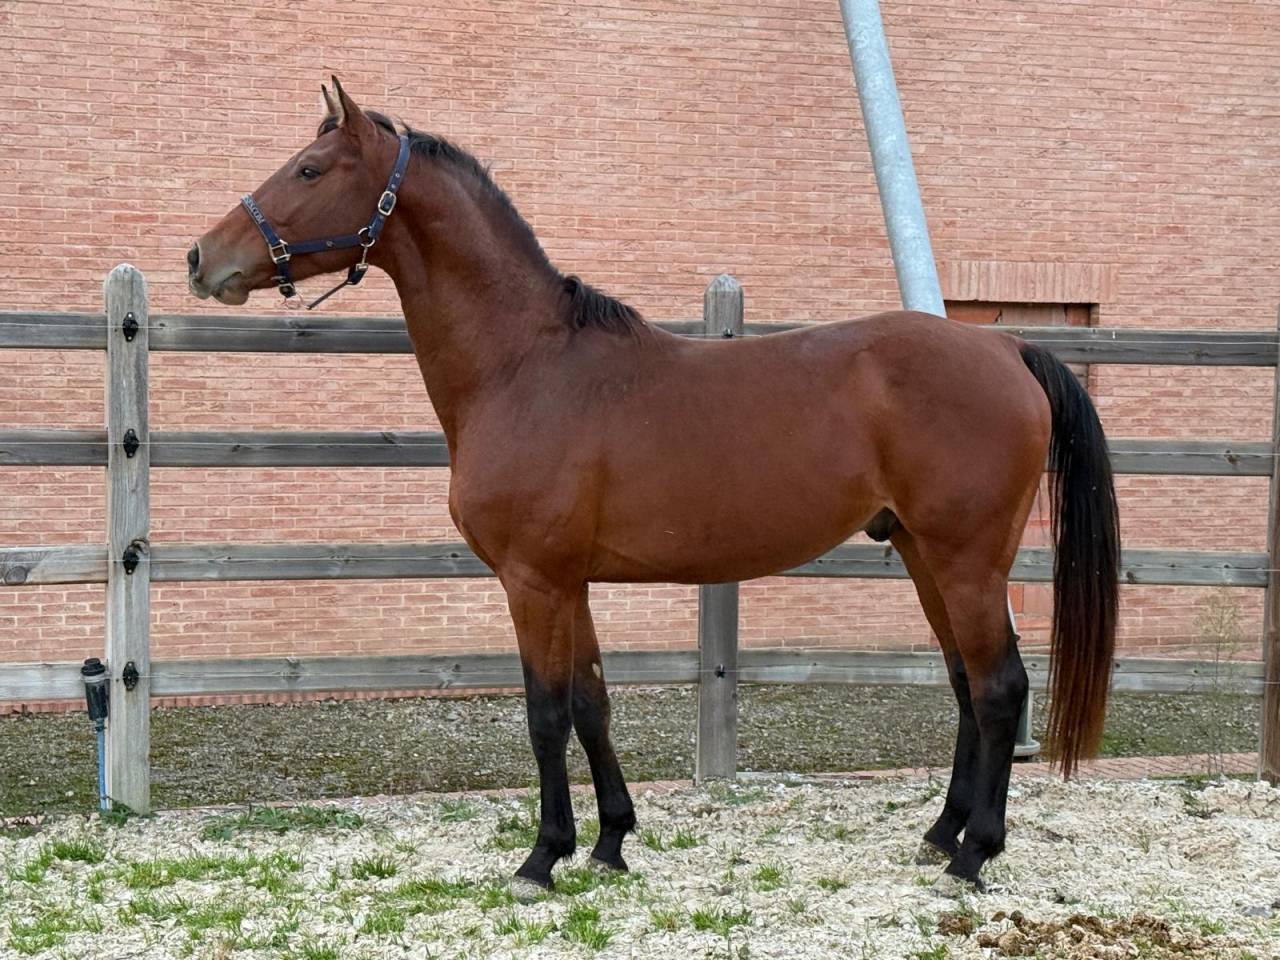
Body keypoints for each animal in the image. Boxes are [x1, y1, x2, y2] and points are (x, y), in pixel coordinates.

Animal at [188, 78, 1120, 896]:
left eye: (311, 170)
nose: (203, 259)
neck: (526, 366)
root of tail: (1004, 347)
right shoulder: (571, 582)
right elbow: (592, 703)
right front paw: (609, 843)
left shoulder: (532, 581)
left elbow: (545, 714)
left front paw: (541, 858)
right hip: (928, 556)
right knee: (966, 686)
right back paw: (940, 834)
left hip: (966, 563)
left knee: (999, 689)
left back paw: (974, 856)